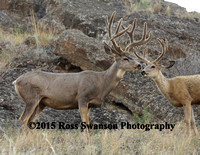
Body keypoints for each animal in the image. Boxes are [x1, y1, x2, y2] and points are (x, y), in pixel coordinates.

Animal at [13, 11, 152, 137]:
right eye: (125, 58)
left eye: (133, 56)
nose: (139, 65)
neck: (101, 83)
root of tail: (16, 81)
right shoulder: (82, 98)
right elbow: (86, 126)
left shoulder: (89, 105)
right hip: (31, 97)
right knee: (23, 119)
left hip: (41, 102)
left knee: (30, 121)